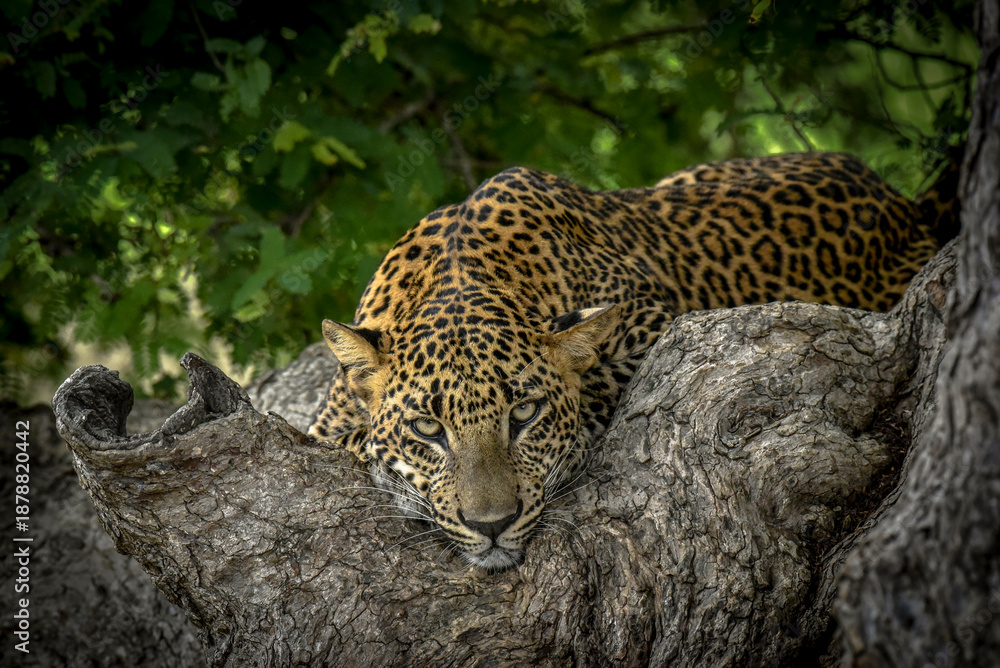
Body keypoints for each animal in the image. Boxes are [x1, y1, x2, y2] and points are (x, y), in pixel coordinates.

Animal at [308, 151, 954, 572]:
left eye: (525, 416)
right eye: (427, 428)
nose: (490, 525)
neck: (461, 269)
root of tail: (900, 203)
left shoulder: (660, 326)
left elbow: (597, 382)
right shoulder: (327, 419)